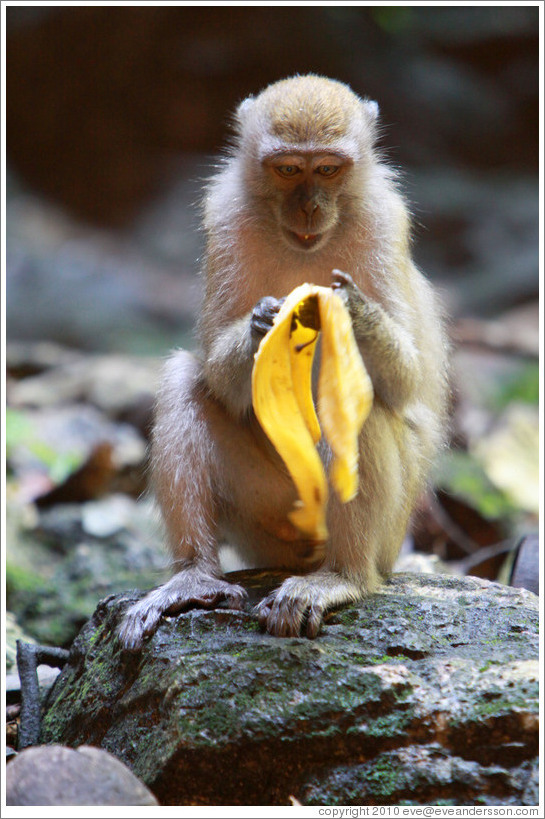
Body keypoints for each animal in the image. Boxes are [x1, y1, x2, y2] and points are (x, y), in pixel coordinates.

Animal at [119, 73, 450, 652]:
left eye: (329, 169)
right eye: (289, 169)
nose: (309, 208)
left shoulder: (384, 221)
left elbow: (407, 381)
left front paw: (351, 309)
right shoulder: (226, 218)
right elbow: (216, 374)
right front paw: (264, 321)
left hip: (389, 534)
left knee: (359, 401)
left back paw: (342, 576)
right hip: (268, 520)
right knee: (186, 380)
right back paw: (194, 578)